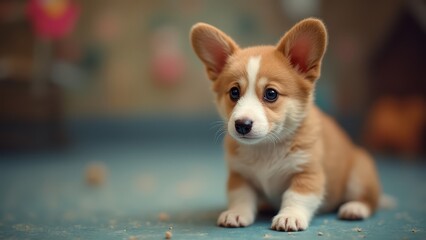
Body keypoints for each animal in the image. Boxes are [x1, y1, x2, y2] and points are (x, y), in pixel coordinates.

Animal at [190, 17, 380, 232]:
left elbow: (296, 197)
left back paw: (355, 208)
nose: (242, 124)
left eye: (271, 93)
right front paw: (236, 213)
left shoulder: (307, 173)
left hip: (359, 173)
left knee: (370, 200)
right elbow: (241, 197)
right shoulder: (240, 175)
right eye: (234, 92)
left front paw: (289, 217)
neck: (265, 148)